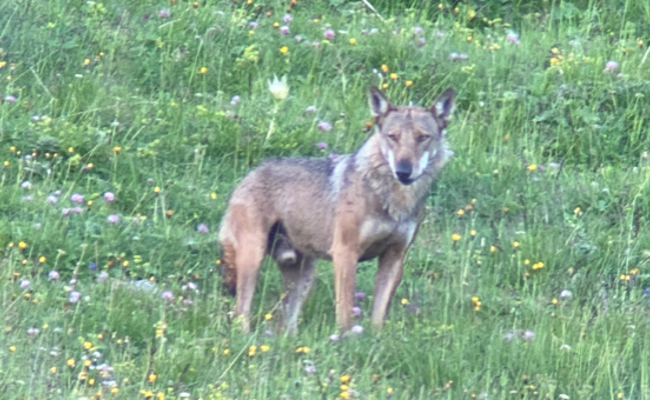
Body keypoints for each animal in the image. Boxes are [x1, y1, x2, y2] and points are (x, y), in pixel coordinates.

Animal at [218, 86, 456, 334]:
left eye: (422, 137)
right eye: (393, 137)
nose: (403, 171)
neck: (392, 198)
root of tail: (248, 175)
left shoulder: (394, 257)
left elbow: (378, 316)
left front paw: (375, 340)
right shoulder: (345, 253)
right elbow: (345, 312)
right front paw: (345, 340)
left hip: (302, 276)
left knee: (286, 325)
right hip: (253, 259)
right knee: (241, 313)